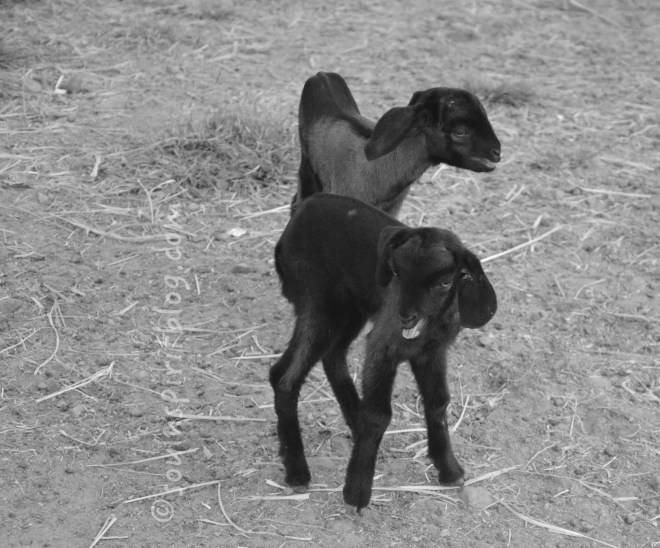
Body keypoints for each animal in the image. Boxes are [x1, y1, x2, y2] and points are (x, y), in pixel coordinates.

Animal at [271, 193, 497, 510]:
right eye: (397, 273)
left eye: (445, 281)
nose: (406, 317)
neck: (427, 329)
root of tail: (302, 210)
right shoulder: (383, 345)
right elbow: (379, 415)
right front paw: (356, 492)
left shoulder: (432, 352)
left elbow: (438, 403)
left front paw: (450, 470)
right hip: (318, 302)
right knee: (285, 377)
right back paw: (297, 471)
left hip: (351, 307)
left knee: (330, 356)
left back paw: (352, 424)